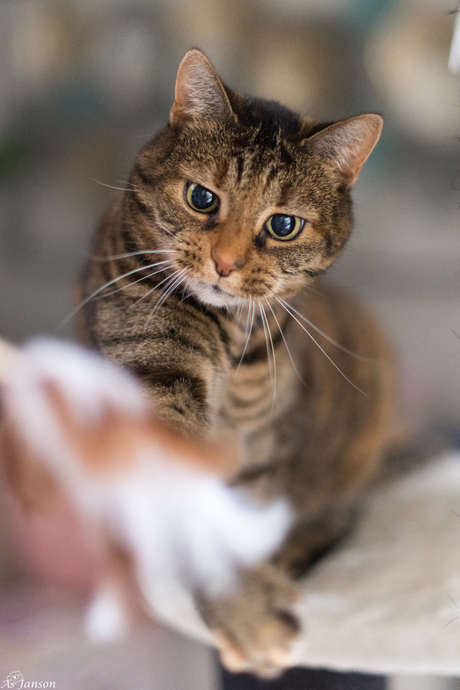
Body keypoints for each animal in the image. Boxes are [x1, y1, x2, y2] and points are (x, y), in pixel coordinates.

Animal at [77, 51, 394, 676]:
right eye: (202, 198)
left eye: (283, 225)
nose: (225, 263)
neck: (230, 344)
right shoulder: (155, 383)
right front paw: (249, 619)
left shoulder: (263, 444)